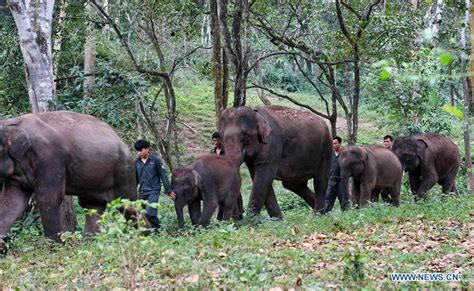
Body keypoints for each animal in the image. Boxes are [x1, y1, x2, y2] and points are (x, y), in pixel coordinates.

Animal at [0, 112, 137, 244]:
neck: (12, 123)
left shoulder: (49, 157)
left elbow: (48, 198)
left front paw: (56, 248)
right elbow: (13, 201)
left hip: (124, 169)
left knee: (128, 205)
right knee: (92, 206)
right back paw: (90, 244)